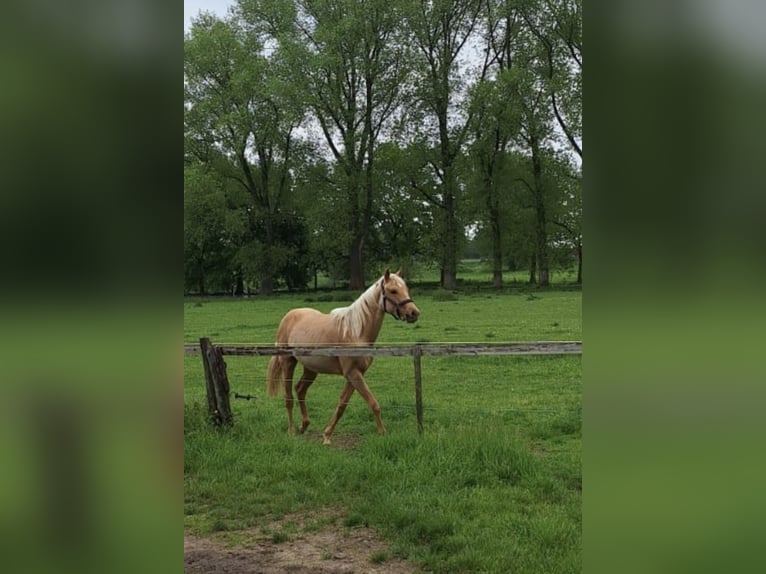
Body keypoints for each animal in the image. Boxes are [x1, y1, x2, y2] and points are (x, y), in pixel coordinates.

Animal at [266, 270, 420, 446]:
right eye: (393, 290)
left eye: (406, 288)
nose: (414, 313)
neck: (356, 332)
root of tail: (288, 316)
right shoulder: (353, 374)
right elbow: (374, 403)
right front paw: (382, 433)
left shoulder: (355, 375)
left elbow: (342, 405)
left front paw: (327, 435)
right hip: (288, 363)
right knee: (288, 398)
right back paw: (292, 431)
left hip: (311, 369)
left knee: (300, 390)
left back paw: (304, 426)